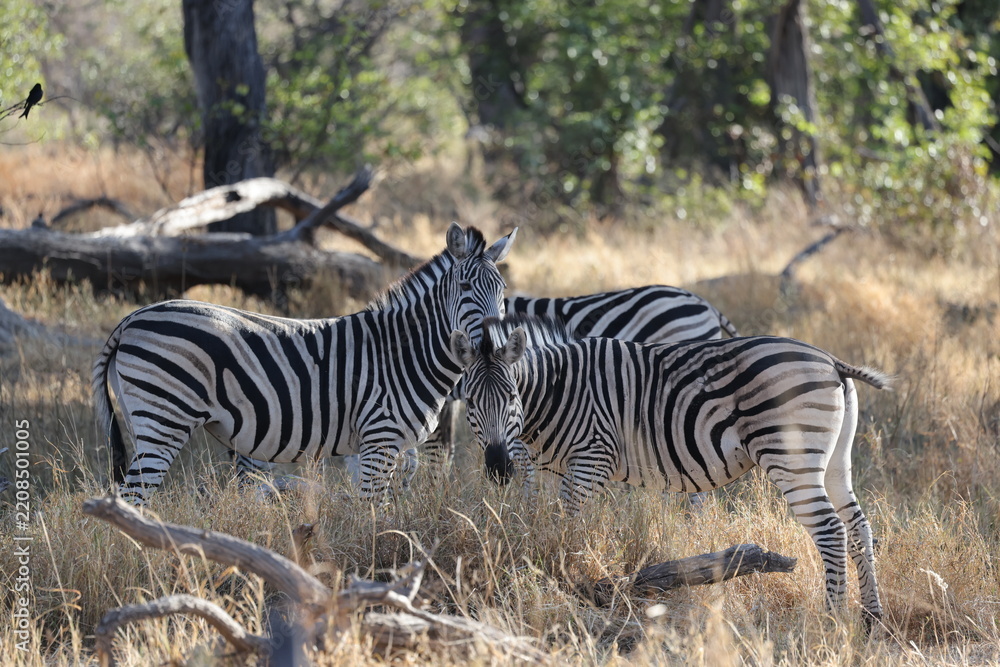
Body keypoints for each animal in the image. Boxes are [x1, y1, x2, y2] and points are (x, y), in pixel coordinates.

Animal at [91, 222, 517, 505]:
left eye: (502, 291)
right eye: (465, 288)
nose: (493, 345)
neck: (405, 352)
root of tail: (133, 317)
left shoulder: (388, 447)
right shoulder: (378, 439)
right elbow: (373, 512)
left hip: (141, 420)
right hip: (163, 420)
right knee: (132, 499)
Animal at [451, 315, 887, 625]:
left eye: (512, 396)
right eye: (469, 401)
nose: (498, 468)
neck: (558, 391)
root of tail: (831, 360)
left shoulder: (591, 460)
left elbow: (566, 528)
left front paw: (569, 583)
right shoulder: (550, 469)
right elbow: (543, 526)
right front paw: (547, 572)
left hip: (791, 456)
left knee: (830, 530)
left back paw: (832, 620)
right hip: (834, 462)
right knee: (858, 526)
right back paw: (870, 617)